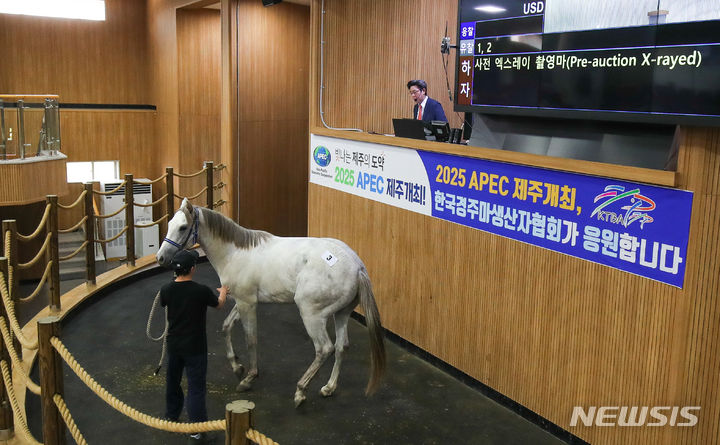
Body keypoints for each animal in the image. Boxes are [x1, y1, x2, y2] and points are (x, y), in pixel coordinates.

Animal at [155, 199, 386, 406]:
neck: (234, 252)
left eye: (183, 227)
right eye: (170, 224)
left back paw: (300, 391)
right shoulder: (242, 301)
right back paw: (328, 388)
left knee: (324, 349)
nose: (160, 258)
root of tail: (357, 266)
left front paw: (249, 378)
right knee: (341, 347)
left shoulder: (247, 304)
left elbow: (251, 339)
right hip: (341, 313)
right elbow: (226, 326)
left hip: (312, 315)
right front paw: (237, 366)